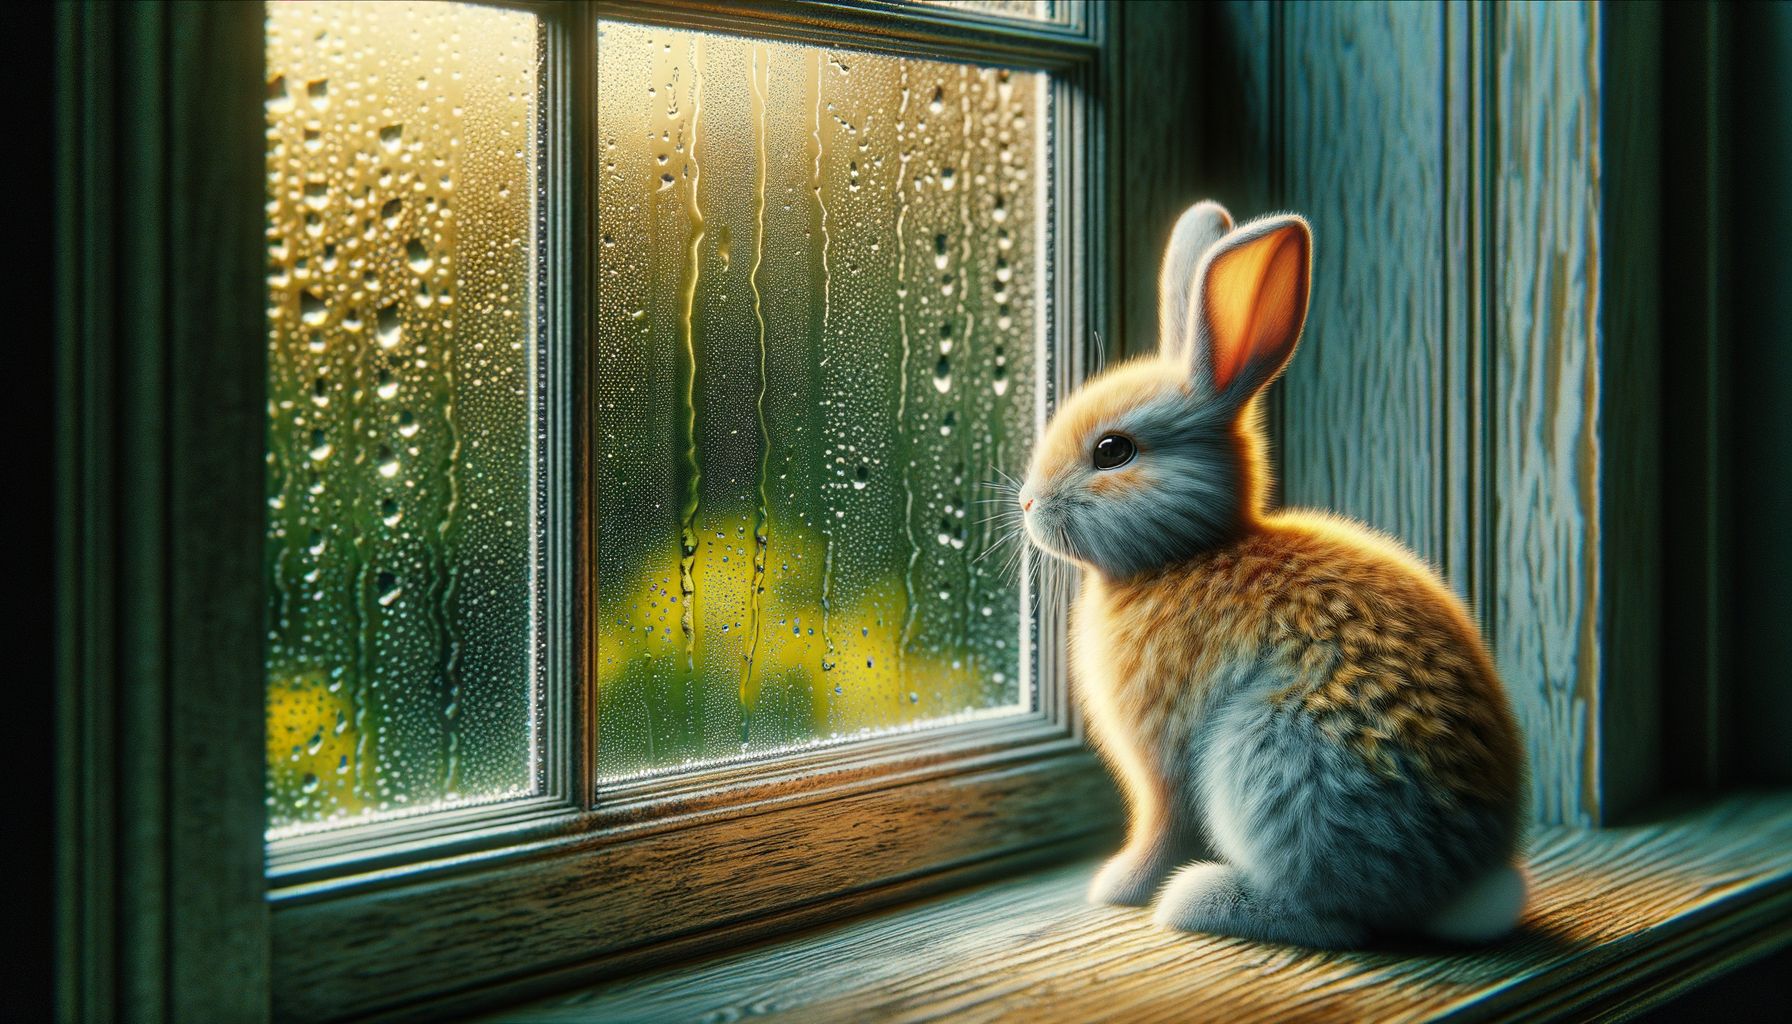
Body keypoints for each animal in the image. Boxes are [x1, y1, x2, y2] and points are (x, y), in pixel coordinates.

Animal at [1016, 200, 1527, 949]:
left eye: (1113, 451)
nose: (1027, 504)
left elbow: (1161, 827)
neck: (1186, 552)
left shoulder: (1162, 761)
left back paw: (1197, 900)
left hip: (1273, 762)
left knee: (1336, 916)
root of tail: (1454, 887)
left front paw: (1118, 888)